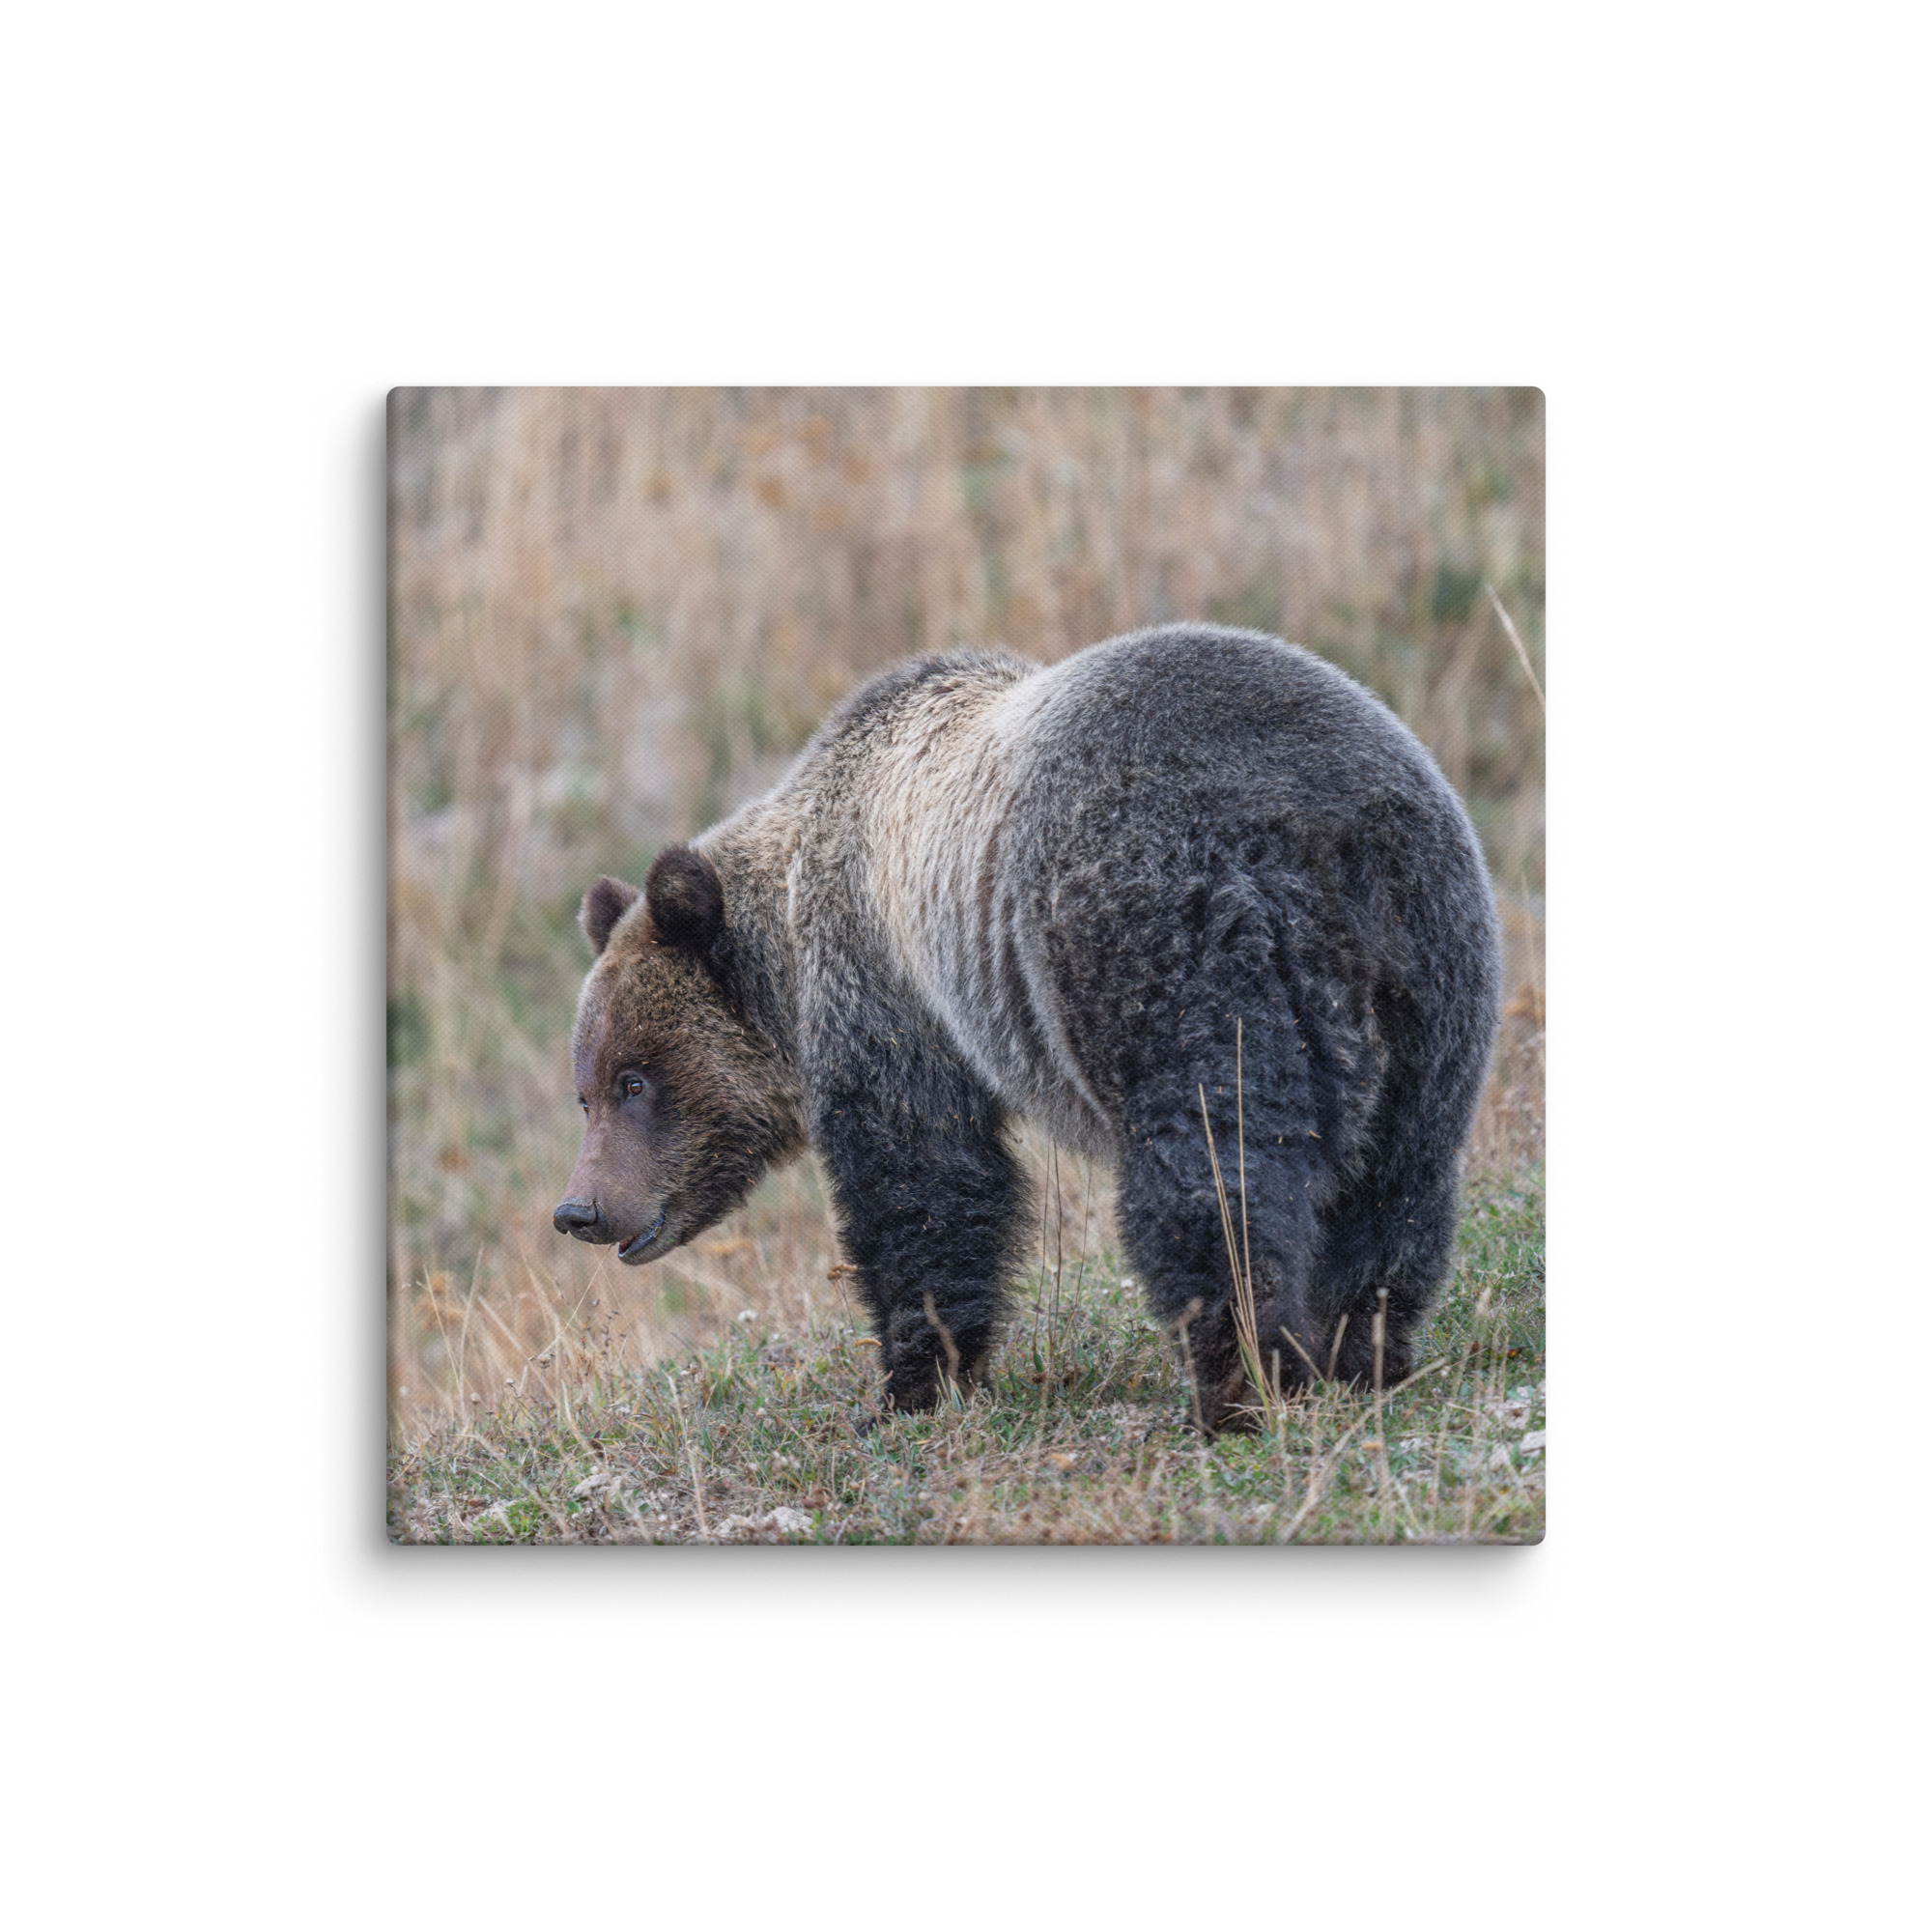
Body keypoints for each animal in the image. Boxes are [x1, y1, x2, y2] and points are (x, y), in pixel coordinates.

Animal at [554, 623, 1501, 1432]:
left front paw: (911, 1384)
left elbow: (924, 1182)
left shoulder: (889, 992)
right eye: (586, 1091)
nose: (580, 1209)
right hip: (1431, 967)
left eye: (634, 1079)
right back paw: (1361, 1353)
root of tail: (1316, 831)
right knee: (1398, 1179)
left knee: (1213, 1173)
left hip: (1162, 940)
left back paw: (1238, 1385)